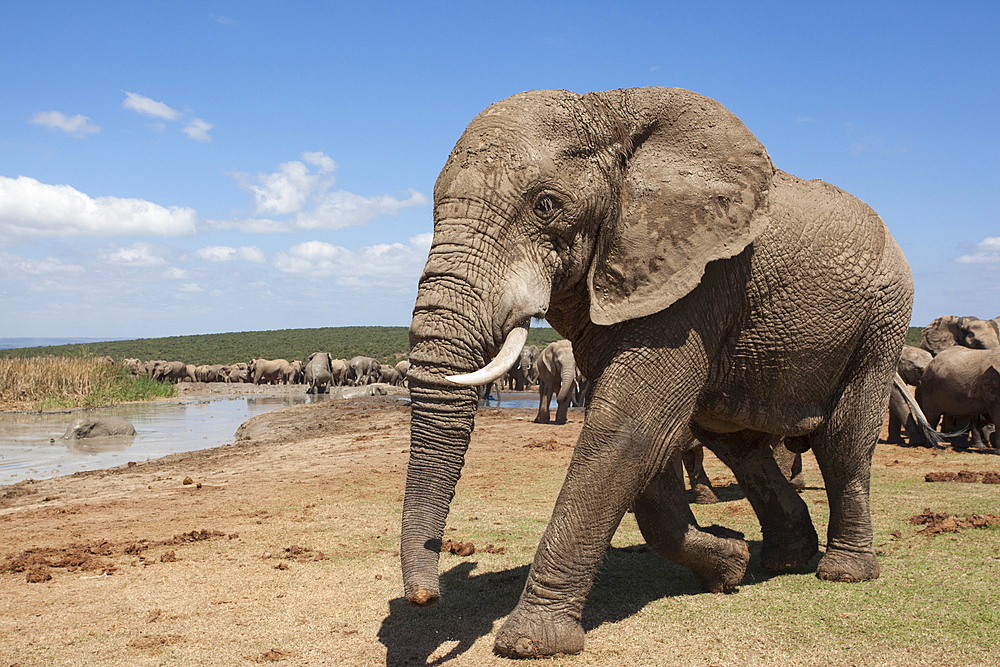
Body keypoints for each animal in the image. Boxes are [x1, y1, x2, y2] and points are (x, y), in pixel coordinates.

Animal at [400, 85, 916, 656]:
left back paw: (843, 572)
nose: (425, 599)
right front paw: (728, 563)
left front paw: (530, 643)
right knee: (739, 443)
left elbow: (631, 429)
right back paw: (783, 558)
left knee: (843, 439)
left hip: (884, 318)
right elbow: (644, 441)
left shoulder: (697, 278)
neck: (606, 108)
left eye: (546, 205)